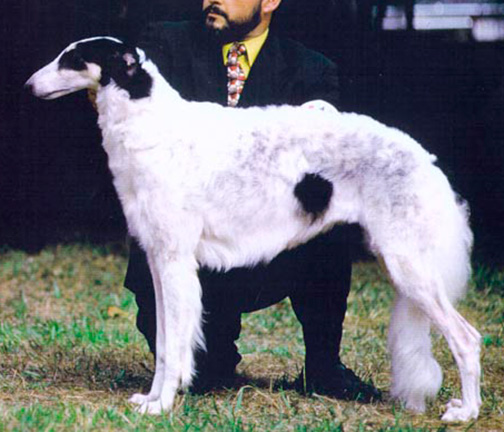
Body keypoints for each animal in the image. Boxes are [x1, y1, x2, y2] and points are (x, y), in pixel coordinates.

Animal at [25, 38, 482, 422]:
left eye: (72, 58)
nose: (28, 86)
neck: (151, 123)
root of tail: (424, 159)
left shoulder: (175, 261)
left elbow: (174, 348)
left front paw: (162, 405)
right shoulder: (157, 261)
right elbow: (164, 345)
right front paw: (150, 399)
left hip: (410, 266)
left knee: (468, 338)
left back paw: (467, 412)